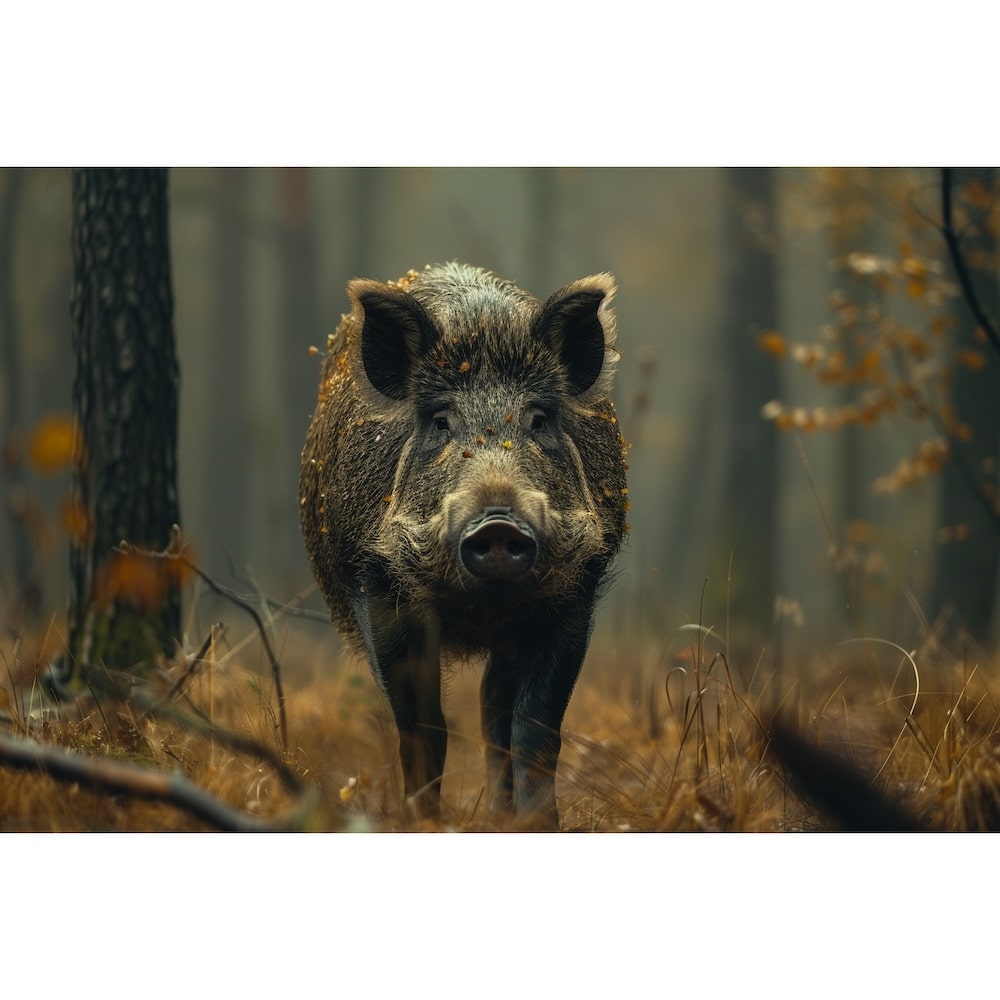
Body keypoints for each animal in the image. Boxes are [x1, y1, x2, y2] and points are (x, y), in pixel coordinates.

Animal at [299, 262, 629, 827]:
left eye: (538, 418)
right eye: (440, 421)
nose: (498, 524)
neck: (480, 609)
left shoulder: (575, 594)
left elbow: (535, 729)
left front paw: (539, 827)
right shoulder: (378, 590)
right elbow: (423, 729)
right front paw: (423, 823)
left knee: (493, 705)